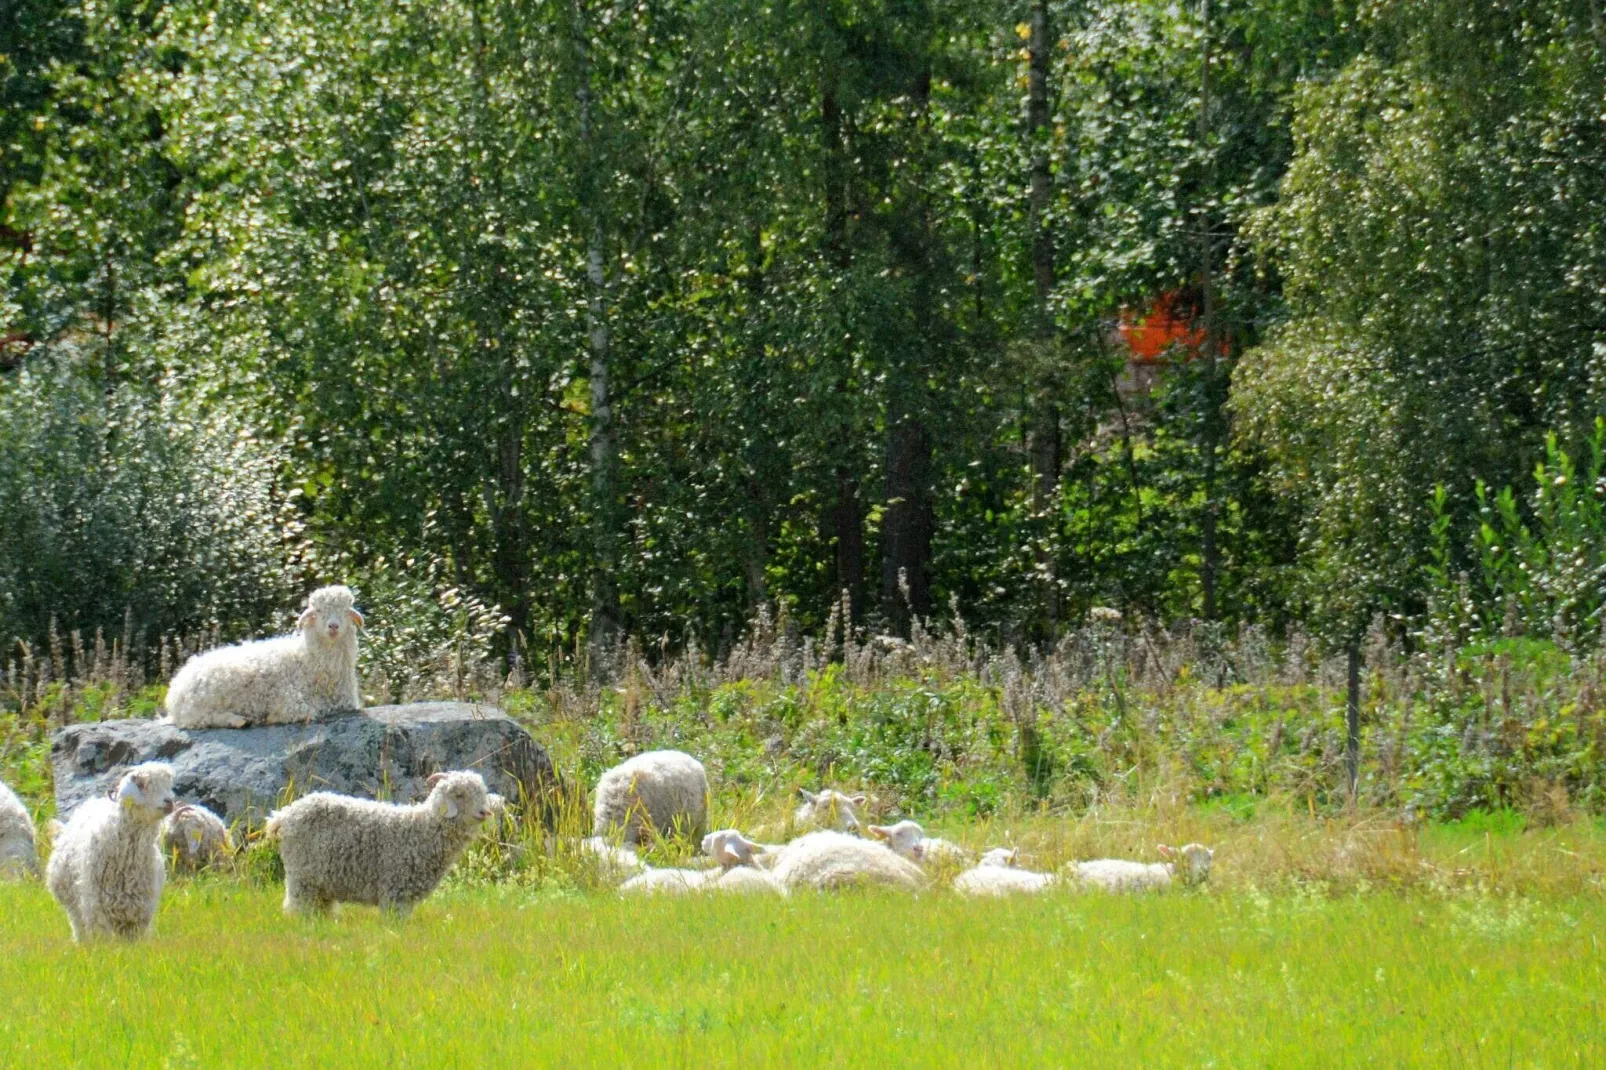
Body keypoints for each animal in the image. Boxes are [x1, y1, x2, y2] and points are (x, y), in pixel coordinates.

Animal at [46, 758, 175, 944]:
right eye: (142, 784)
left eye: (168, 784)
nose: (169, 802)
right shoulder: (96, 908)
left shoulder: (140, 910)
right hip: (73, 906)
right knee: (79, 926)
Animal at [163, 584, 364, 726]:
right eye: (319, 611)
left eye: (346, 611)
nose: (333, 626)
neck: (306, 660)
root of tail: (175, 689)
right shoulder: (288, 698)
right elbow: (303, 710)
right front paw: (272, 717)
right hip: (200, 702)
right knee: (197, 719)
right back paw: (238, 720)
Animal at [266, 767, 501, 918]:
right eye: (459, 795)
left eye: (481, 792)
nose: (484, 812)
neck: (421, 828)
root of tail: (283, 816)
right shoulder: (396, 891)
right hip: (302, 877)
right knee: (297, 907)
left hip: (321, 883)